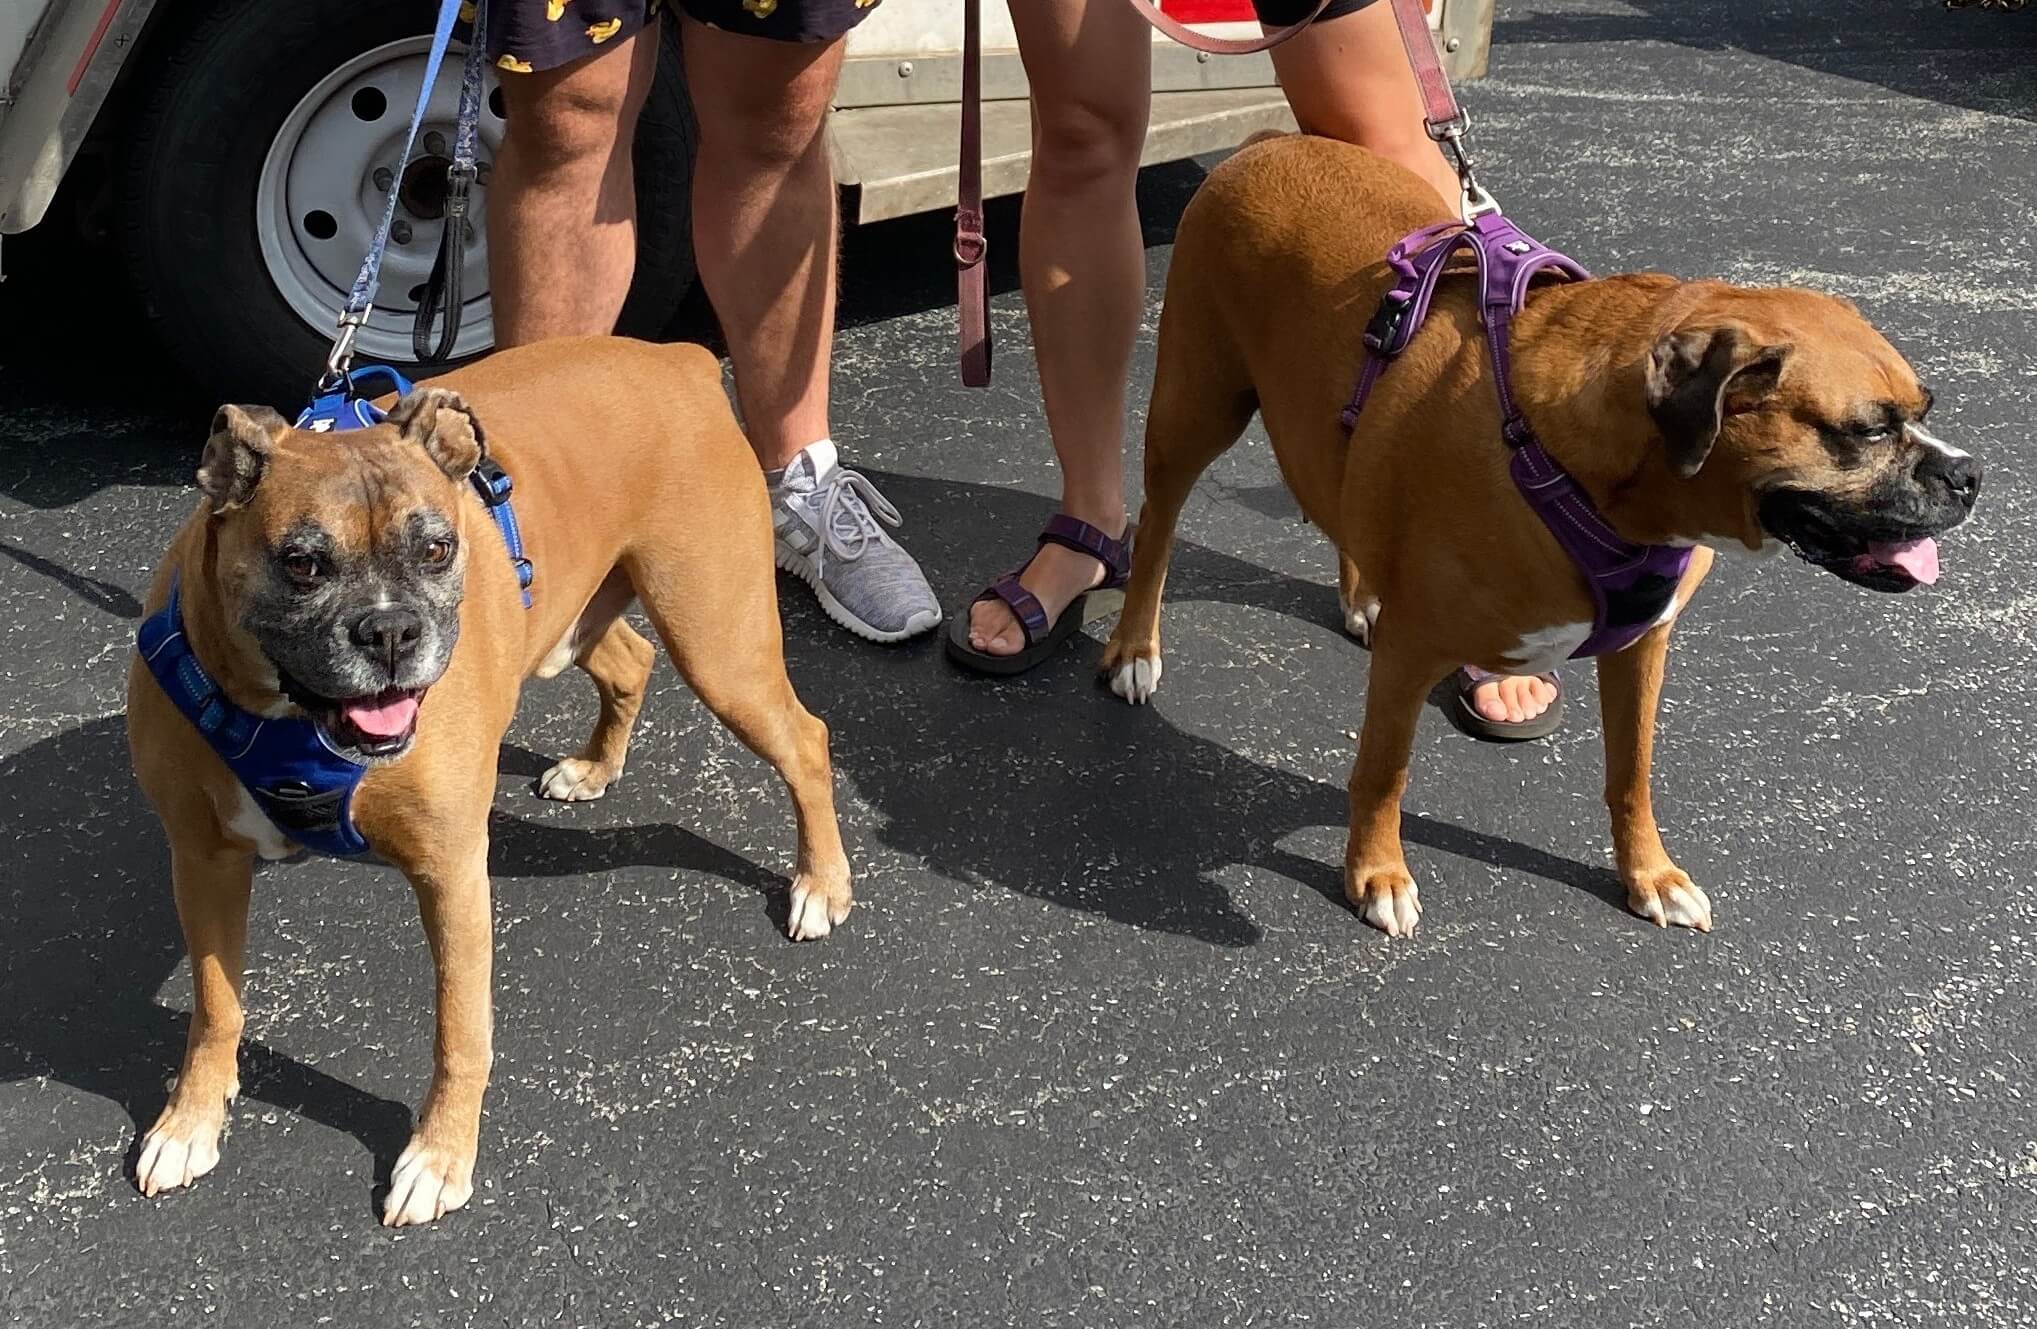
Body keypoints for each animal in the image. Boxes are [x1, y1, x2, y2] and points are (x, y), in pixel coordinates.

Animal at [121, 0, 851, 1239]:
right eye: (302, 563)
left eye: (435, 547)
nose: (389, 635)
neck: (292, 718)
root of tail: (677, 358)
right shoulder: (203, 860)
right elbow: (216, 1008)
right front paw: (190, 1121)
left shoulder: (452, 876)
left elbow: (460, 1032)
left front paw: (439, 1158)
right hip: (595, 613)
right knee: (629, 663)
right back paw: (595, 769)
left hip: (724, 641)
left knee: (804, 738)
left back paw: (821, 885)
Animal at [1108, 0, 1979, 933]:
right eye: (1868, 430)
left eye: (1924, 409)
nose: (1971, 476)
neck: (1577, 467)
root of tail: (1264, 142)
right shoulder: (1412, 659)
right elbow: (1383, 770)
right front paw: (1375, 873)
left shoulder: (1641, 645)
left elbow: (1630, 773)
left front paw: (1647, 873)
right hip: (1194, 412)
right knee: (1155, 527)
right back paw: (1132, 648)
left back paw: (1359, 593)